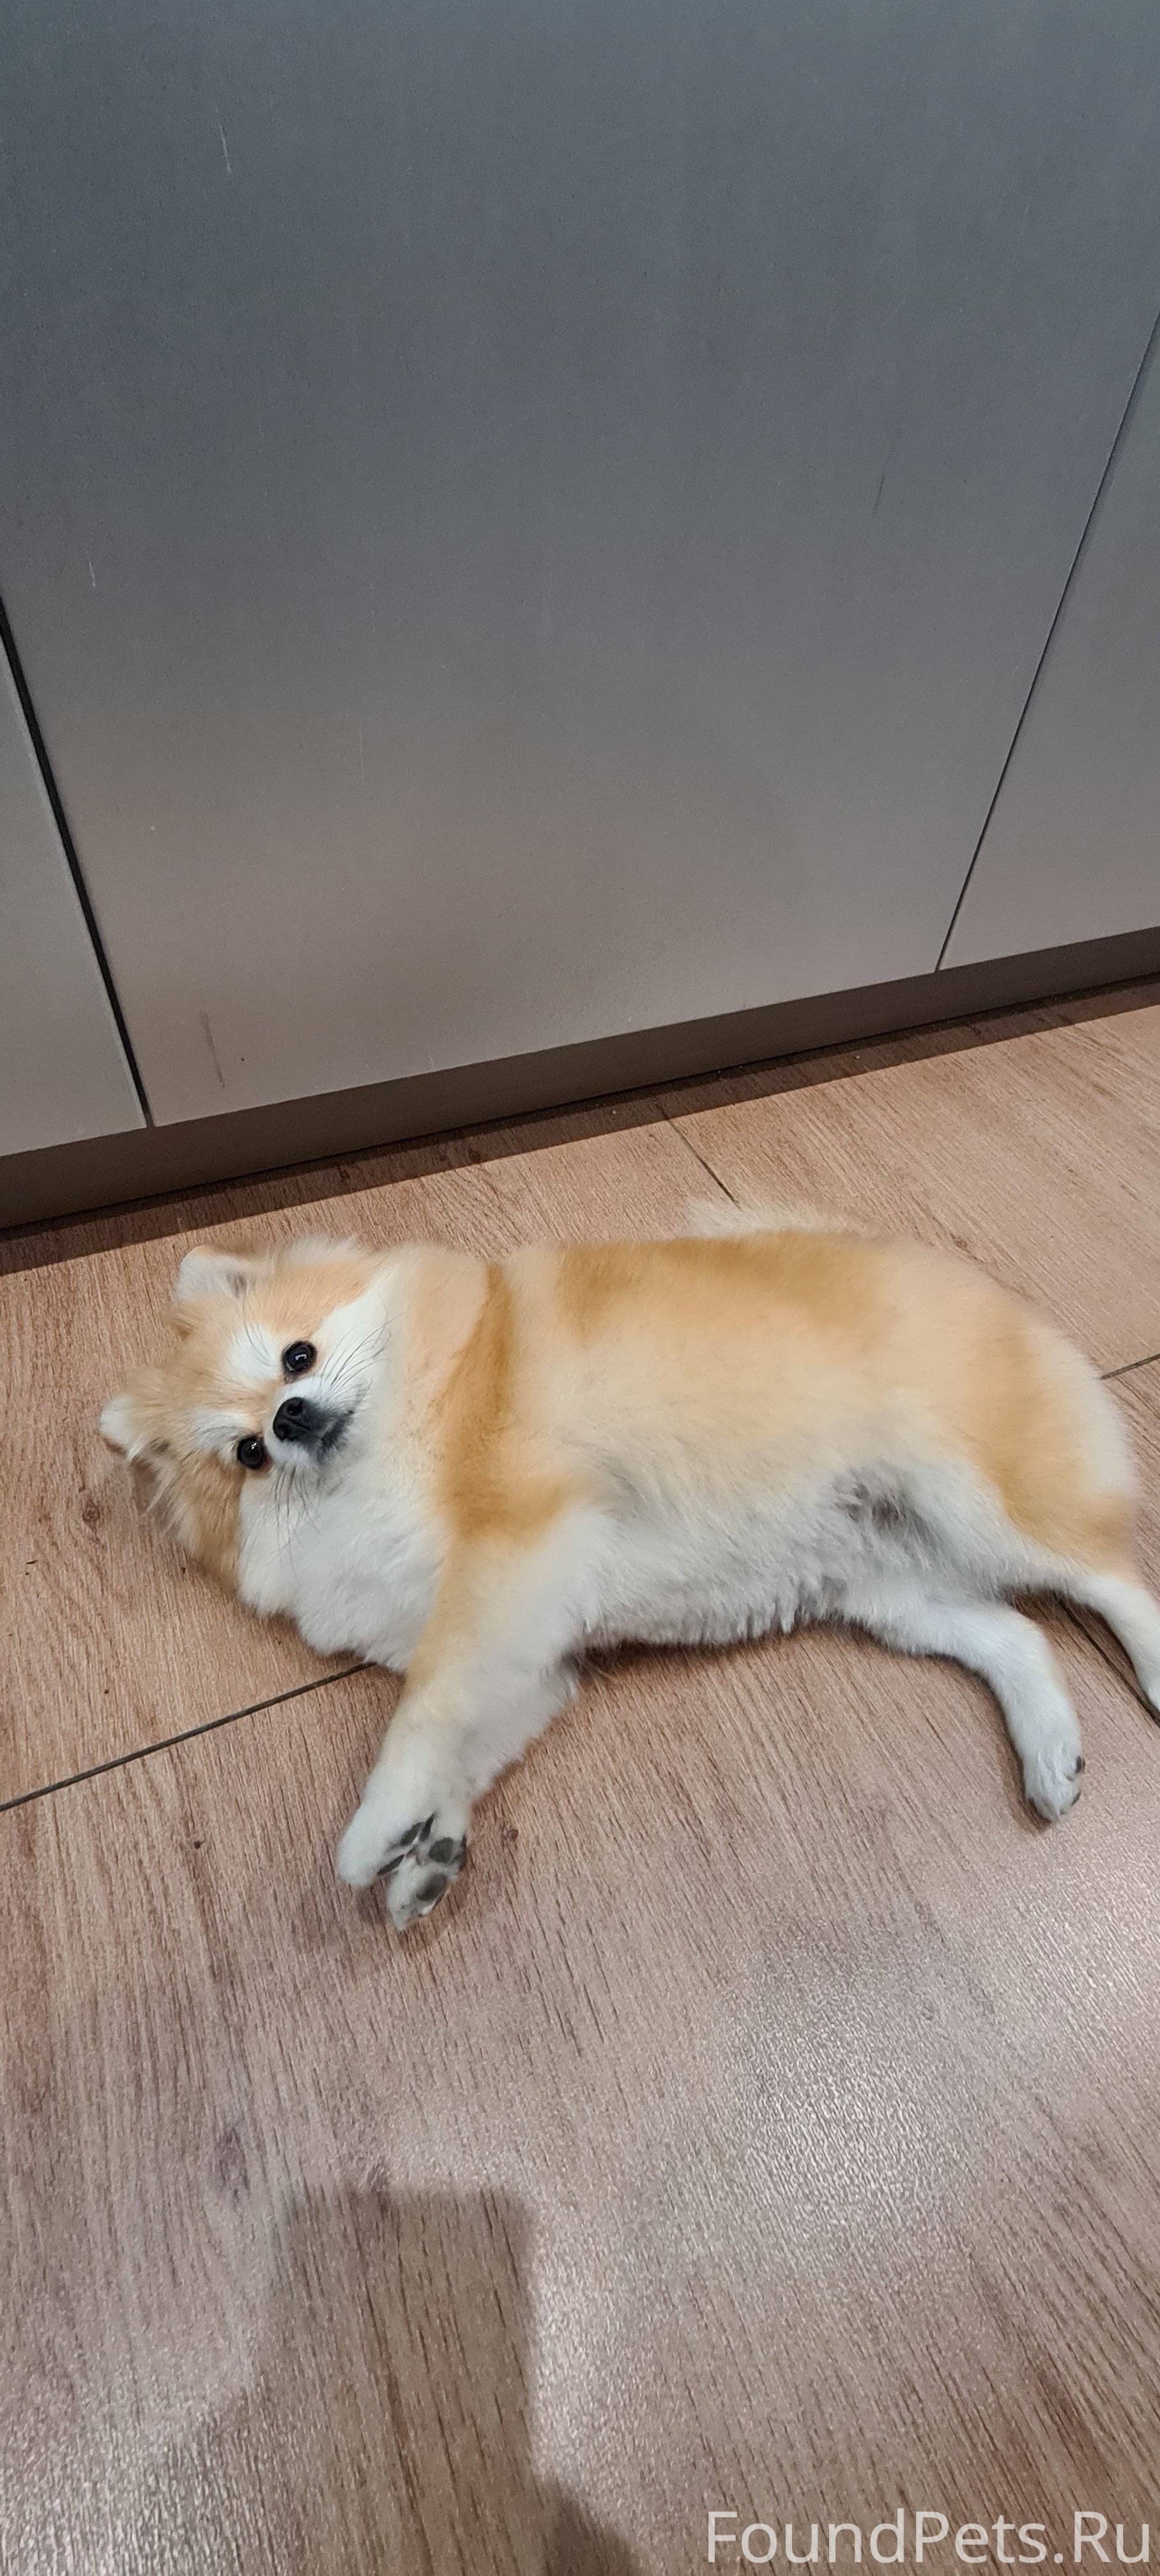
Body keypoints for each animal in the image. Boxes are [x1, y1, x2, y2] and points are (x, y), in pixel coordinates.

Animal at [101, 1202, 1160, 1930]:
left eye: (298, 1356)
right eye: (244, 1456)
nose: (286, 1420)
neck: (405, 1432)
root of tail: (980, 1285)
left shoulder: (507, 1556)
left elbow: (427, 1711)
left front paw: (376, 1831)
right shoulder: (530, 1648)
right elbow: (467, 1736)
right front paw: (430, 1847)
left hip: (985, 1502)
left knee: (1118, 1582)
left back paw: (1151, 1674)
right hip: (894, 1590)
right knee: (1016, 1635)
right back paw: (1050, 1753)